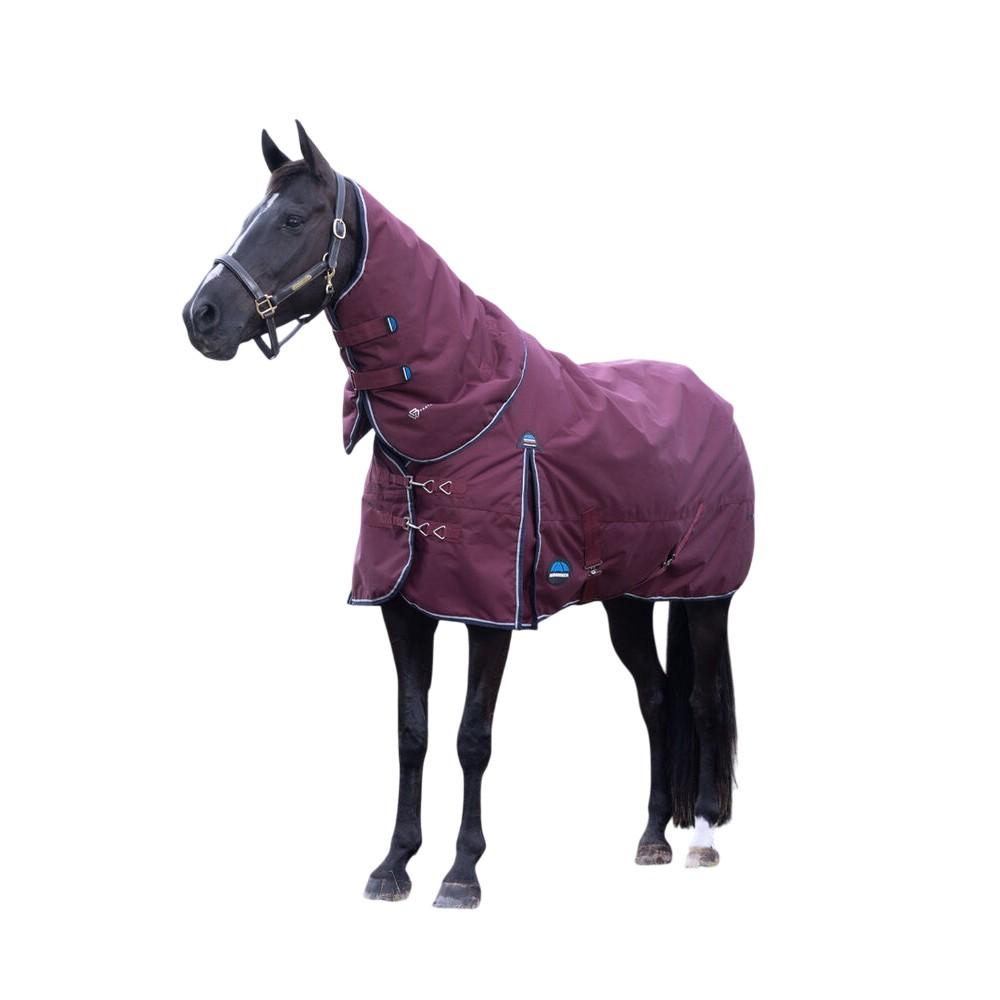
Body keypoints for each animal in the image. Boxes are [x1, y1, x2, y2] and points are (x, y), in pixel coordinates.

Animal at [183, 122, 753, 908]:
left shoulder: (489, 613)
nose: (200, 317)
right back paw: (650, 839)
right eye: (249, 217)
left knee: (698, 701)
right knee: (657, 698)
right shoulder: (403, 609)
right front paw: (394, 865)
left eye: (293, 220)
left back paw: (699, 840)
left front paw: (460, 873)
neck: (457, 417)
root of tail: (713, 402)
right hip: (628, 600)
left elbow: (470, 737)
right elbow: (411, 734)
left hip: (705, 595)